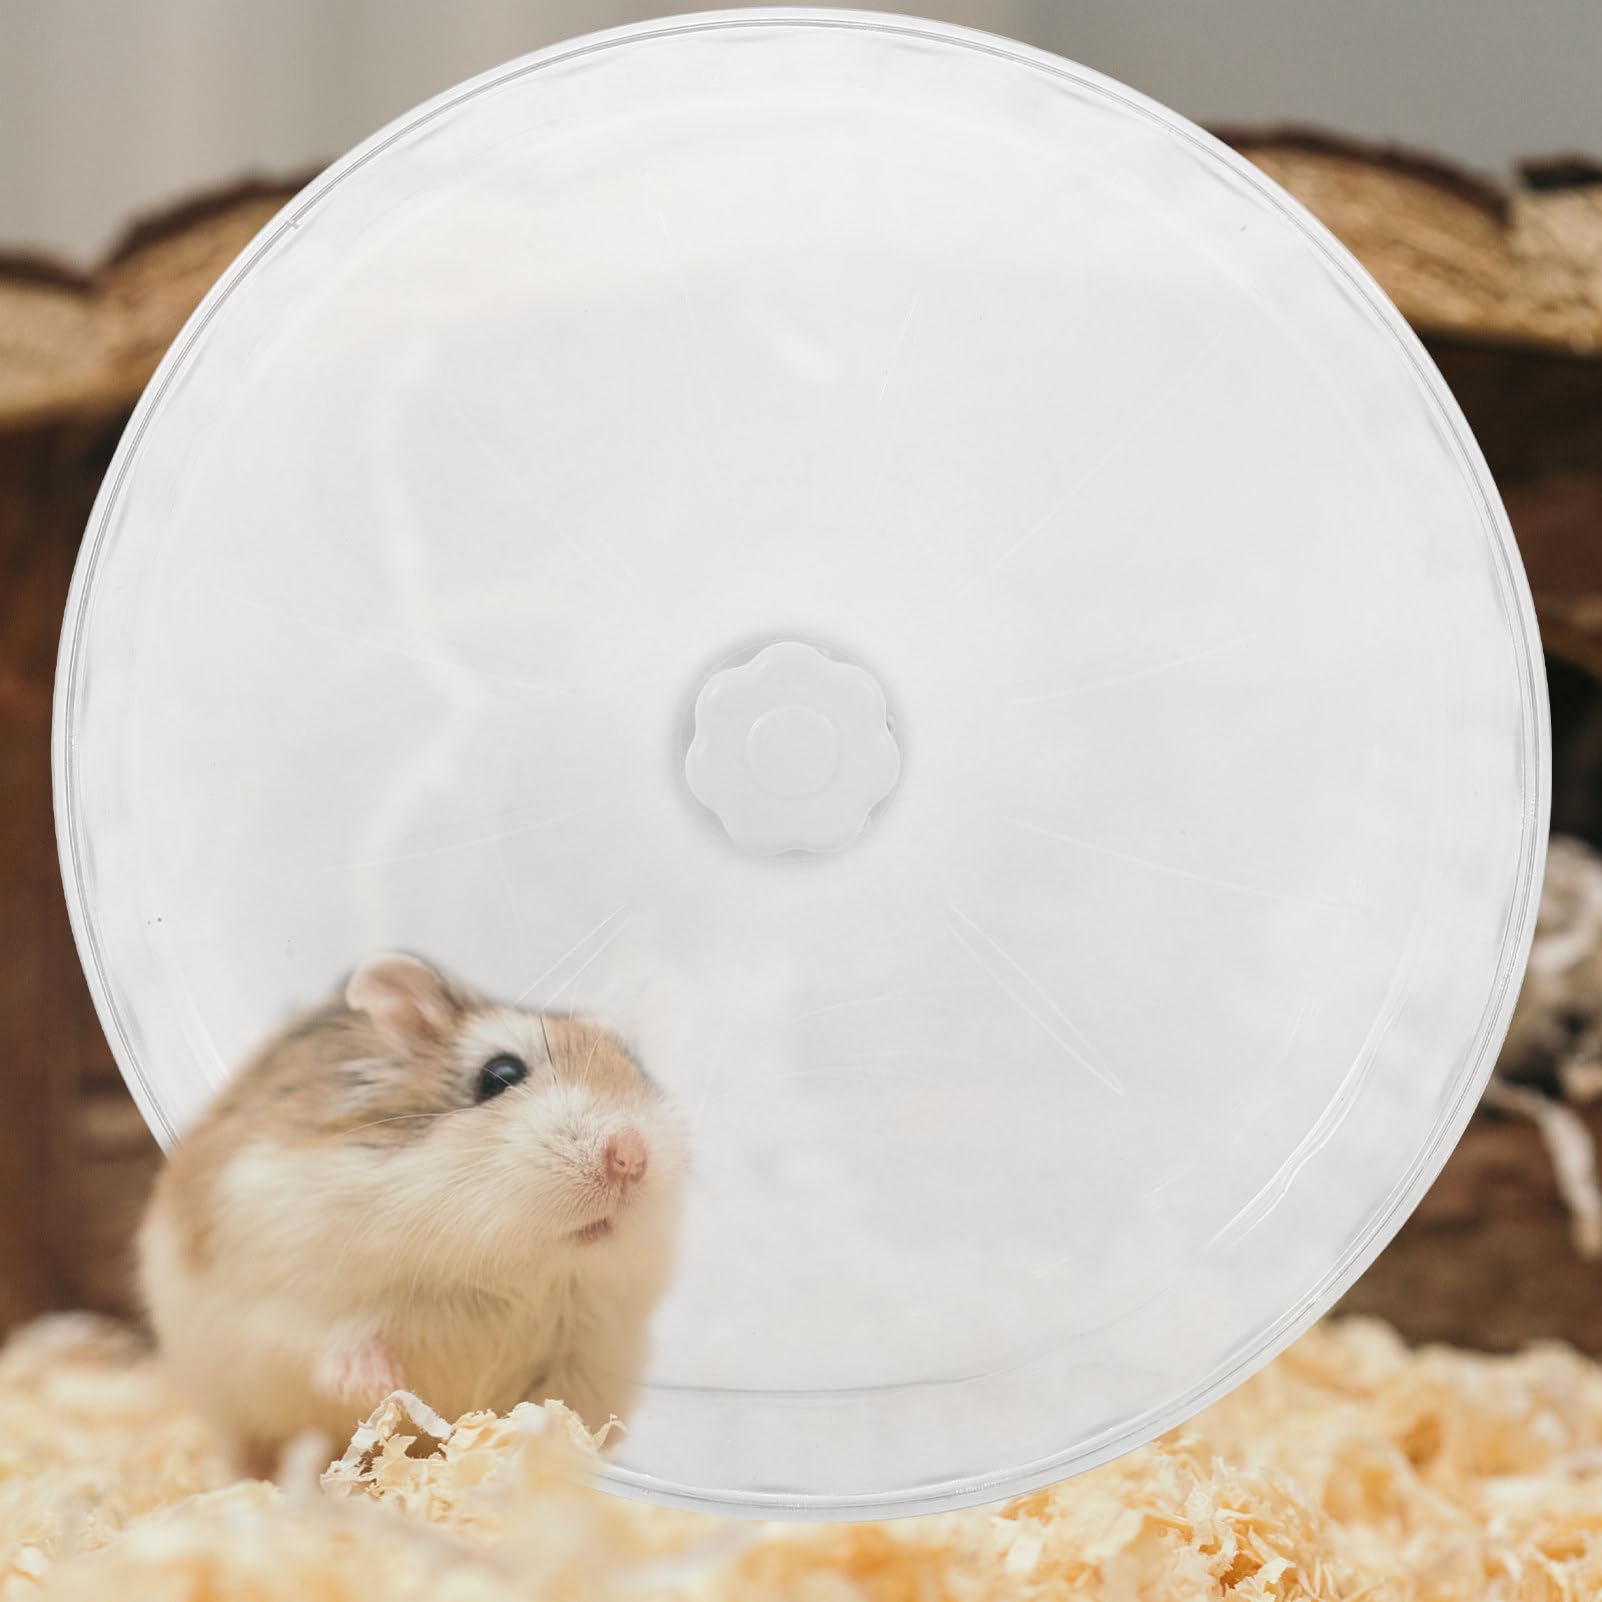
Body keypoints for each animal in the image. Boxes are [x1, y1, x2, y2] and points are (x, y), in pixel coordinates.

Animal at [136, 953, 686, 1476]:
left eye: (637, 1070)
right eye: (501, 1074)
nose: (631, 1156)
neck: (506, 1268)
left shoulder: (589, 1352)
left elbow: (561, 1413)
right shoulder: (284, 1291)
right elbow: (332, 1340)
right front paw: (382, 1386)